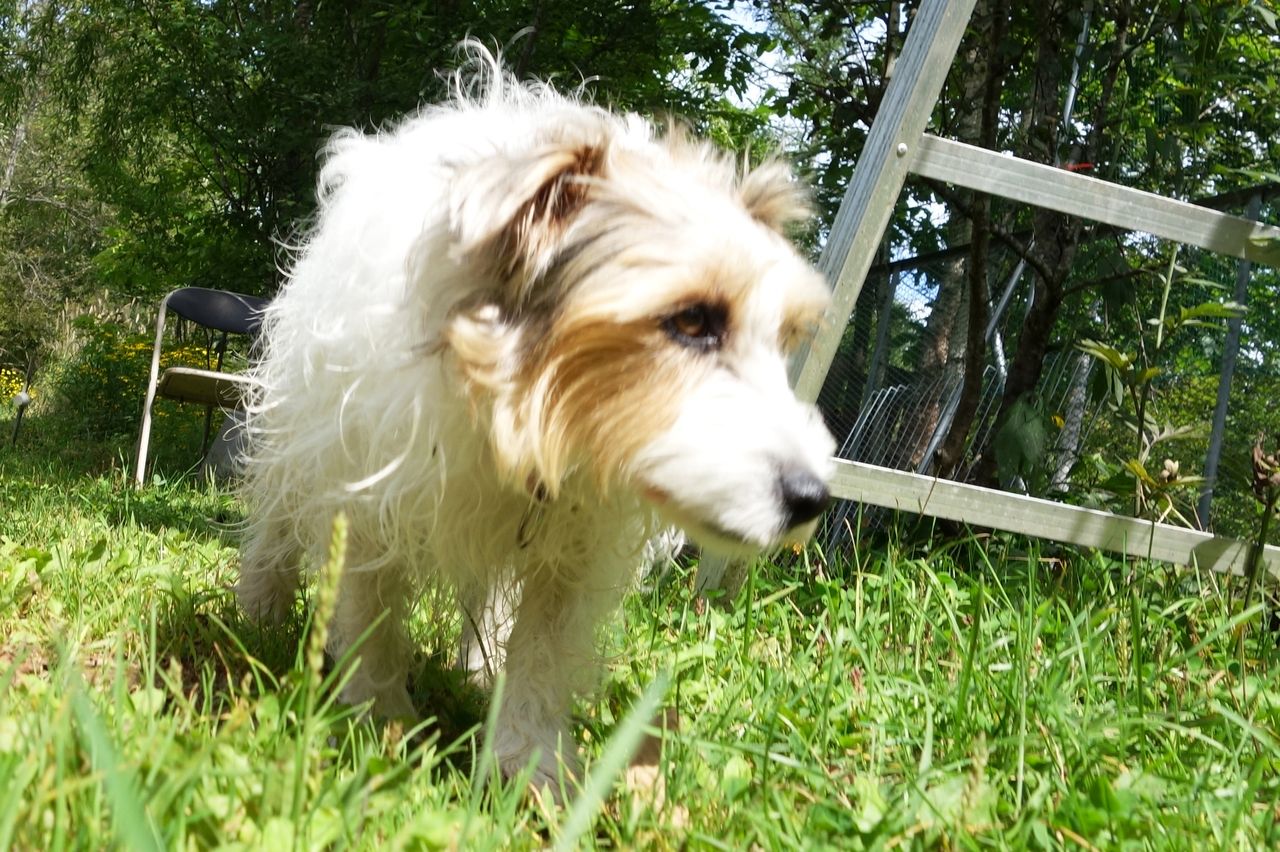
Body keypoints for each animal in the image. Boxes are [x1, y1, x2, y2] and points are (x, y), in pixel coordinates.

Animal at [236, 45, 835, 791]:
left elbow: (544, 643)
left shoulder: (574, 543)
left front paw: (528, 759)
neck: (518, 415)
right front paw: (377, 720)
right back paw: (258, 611)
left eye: (785, 338)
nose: (811, 498)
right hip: (293, 433)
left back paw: (481, 660)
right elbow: (371, 603)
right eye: (693, 320)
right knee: (276, 519)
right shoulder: (371, 490)